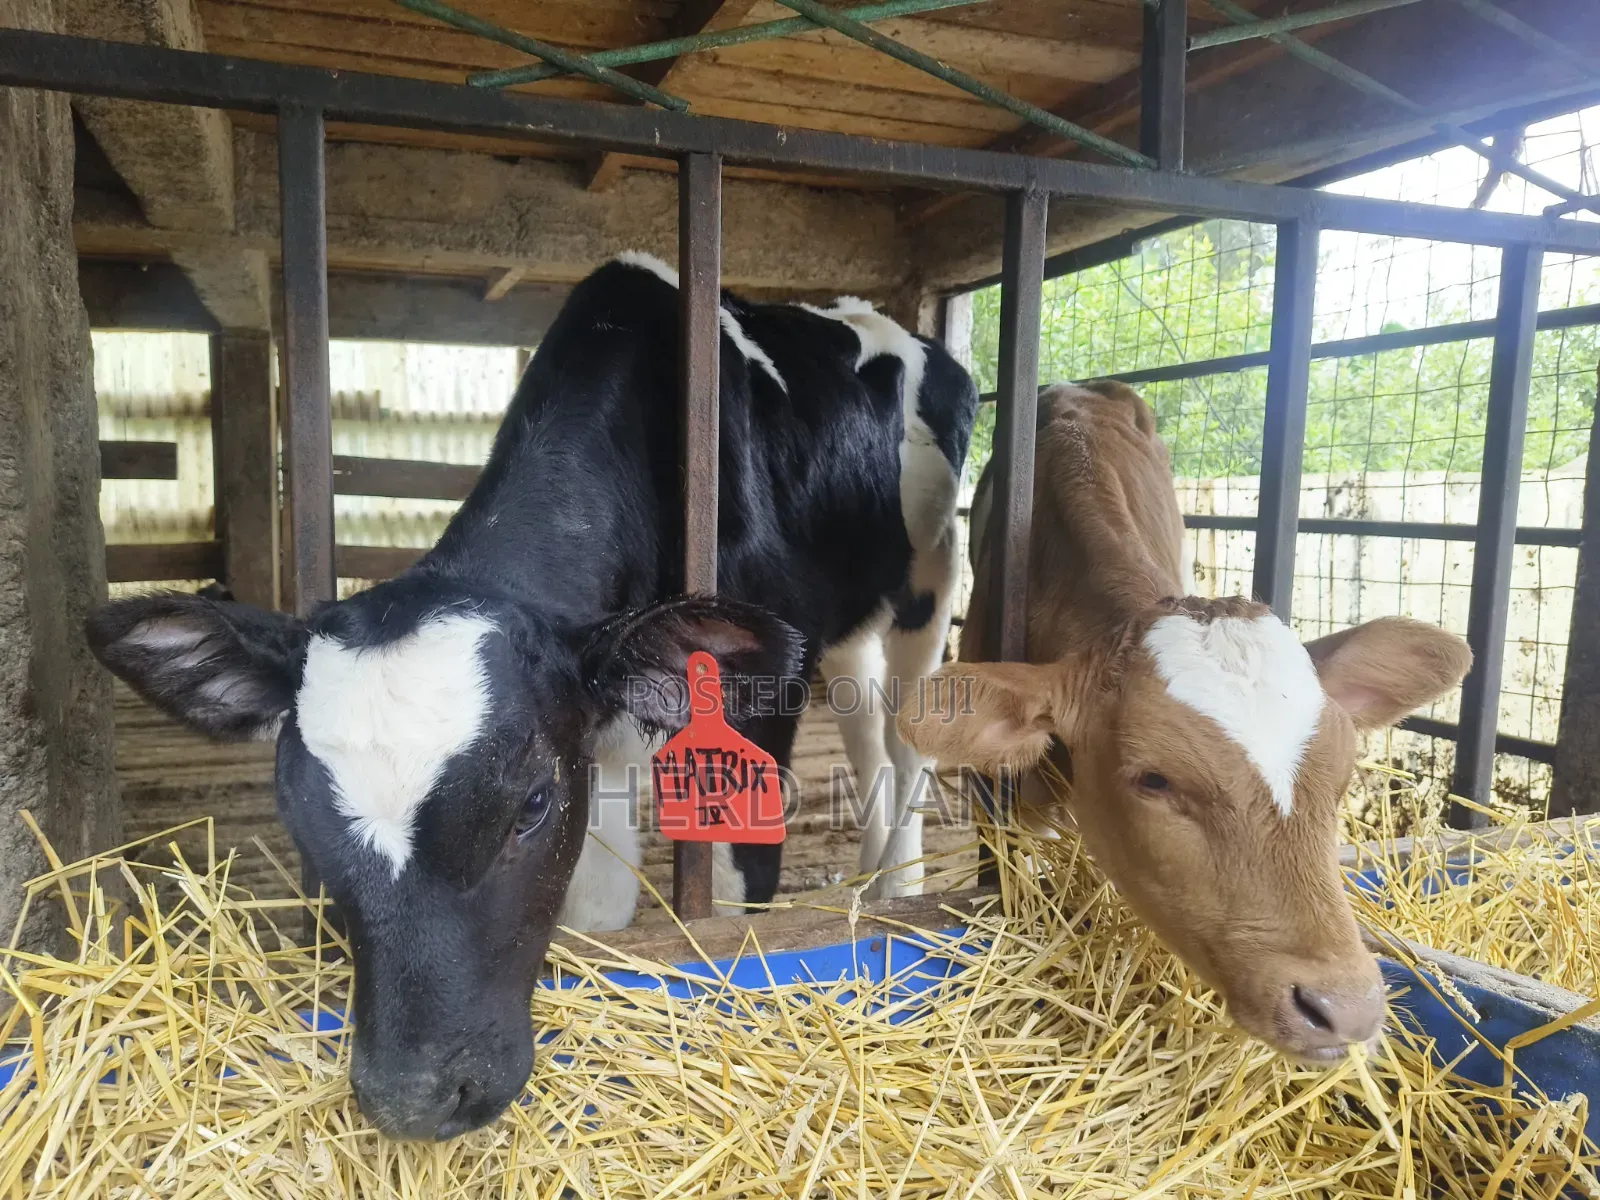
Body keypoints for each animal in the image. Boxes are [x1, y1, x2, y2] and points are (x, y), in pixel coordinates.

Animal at [85, 253, 978, 1139]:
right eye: (294, 812)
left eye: (531, 805)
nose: (411, 1098)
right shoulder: (598, 732)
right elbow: (599, 902)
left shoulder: (757, 691)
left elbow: (733, 883)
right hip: (849, 622)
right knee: (866, 732)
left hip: (931, 581)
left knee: (909, 738)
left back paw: (899, 886)